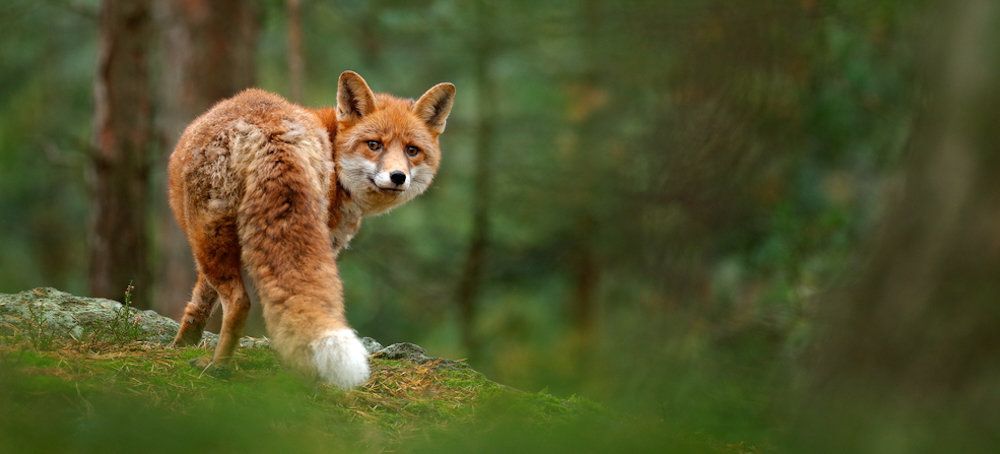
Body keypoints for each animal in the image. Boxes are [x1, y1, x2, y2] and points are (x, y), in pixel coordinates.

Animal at [167, 71, 455, 389]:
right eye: (374, 145)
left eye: (411, 150)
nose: (397, 176)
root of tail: (271, 132)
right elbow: (201, 301)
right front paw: (182, 344)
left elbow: (200, 301)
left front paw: (181, 346)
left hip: (206, 237)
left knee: (239, 302)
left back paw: (218, 366)